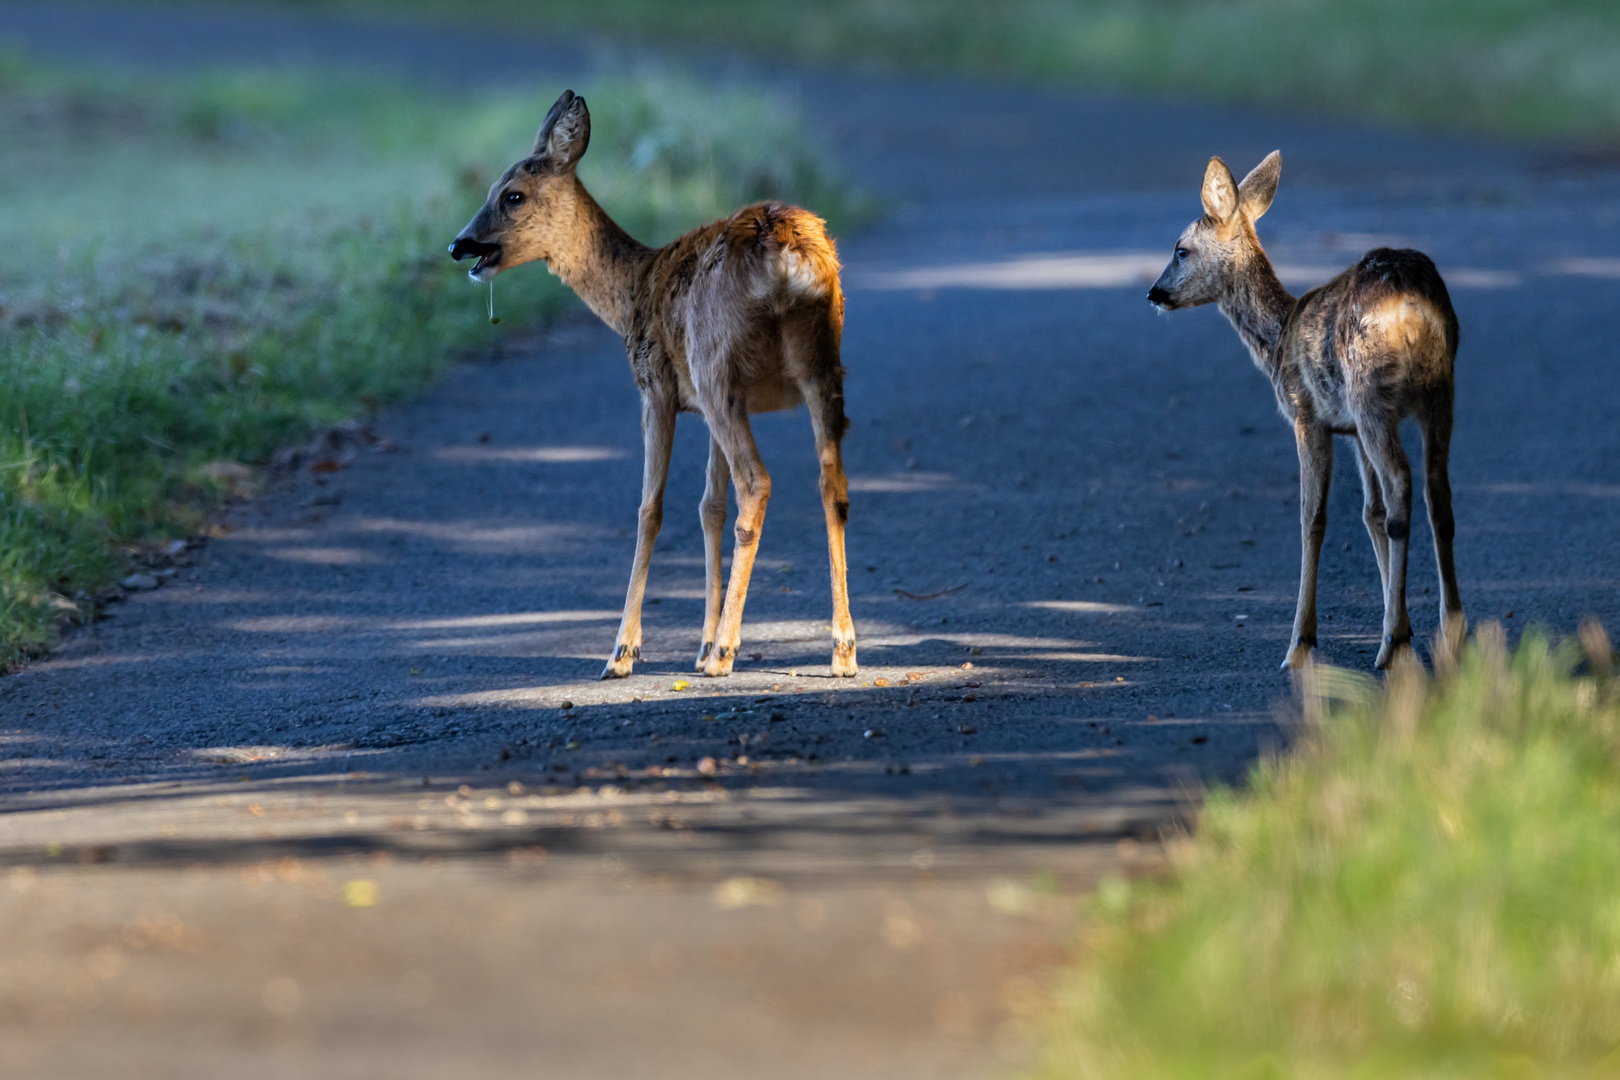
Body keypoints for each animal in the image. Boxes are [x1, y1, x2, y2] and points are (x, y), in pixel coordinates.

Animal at [440, 95, 848, 683]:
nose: (458, 245)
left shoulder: (656, 384)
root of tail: (785, 255)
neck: (633, 288)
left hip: (714, 360)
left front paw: (624, 652)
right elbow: (709, 506)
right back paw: (841, 651)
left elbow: (649, 509)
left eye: (511, 194)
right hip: (818, 366)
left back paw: (725, 656)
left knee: (758, 481)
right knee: (831, 484)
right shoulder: (716, 404)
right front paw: (700, 642)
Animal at [1146, 152, 1464, 670]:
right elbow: (1370, 512)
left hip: (1370, 387)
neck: (1277, 338)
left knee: (1402, 483)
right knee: (1437, 494)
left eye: (1180, 249)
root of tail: (1412, 299)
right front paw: (1405, 624)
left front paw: (1300, 642)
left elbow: (1311, 517)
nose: (1154, 292)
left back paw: (1390, 645)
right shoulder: (1349, 429)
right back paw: (1451, 631)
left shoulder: (1306, 414)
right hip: (1439, 390)